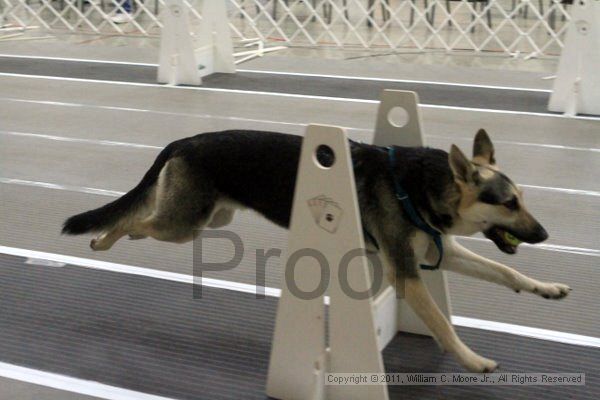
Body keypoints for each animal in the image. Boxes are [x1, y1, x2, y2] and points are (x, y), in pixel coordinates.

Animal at [63, 129, 568, 372]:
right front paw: (472, 360)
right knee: (131, 219)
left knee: (141, 221)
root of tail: (184, 140)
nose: (544, 233)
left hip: (205, 220)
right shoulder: (405, 272)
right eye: (508, 203)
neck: (423, 186)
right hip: (184, 224)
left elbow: (507, 274)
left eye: (523, 199)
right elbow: (443, 326)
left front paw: (545, 287)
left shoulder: (440, 252)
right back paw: (102, 238)